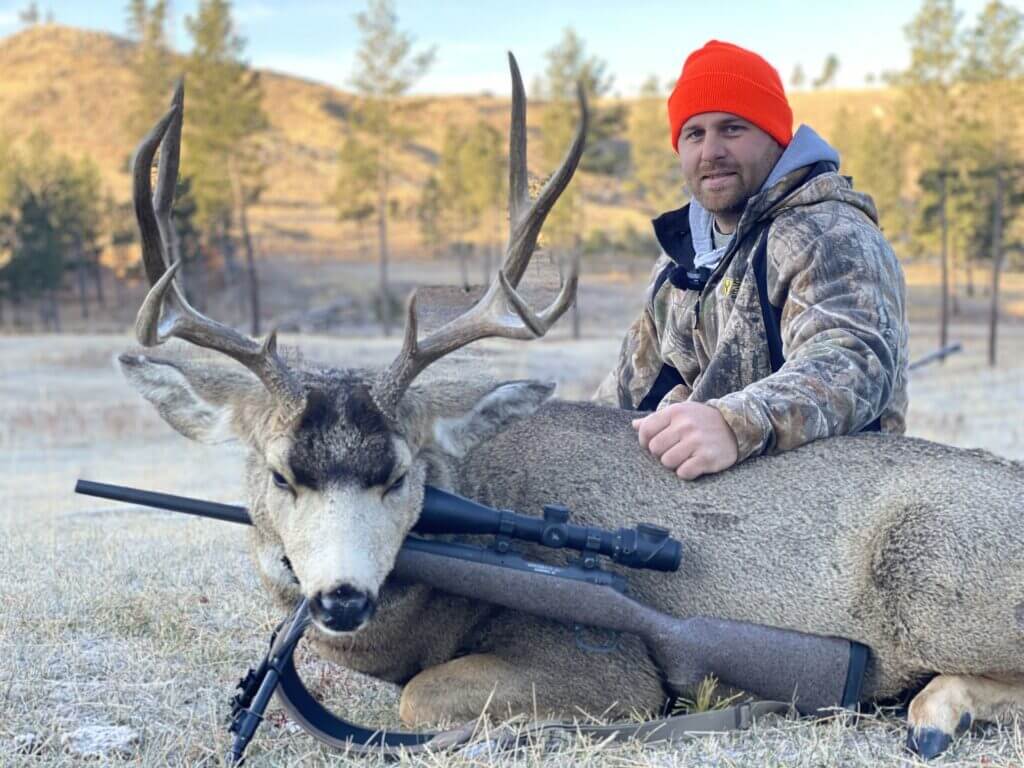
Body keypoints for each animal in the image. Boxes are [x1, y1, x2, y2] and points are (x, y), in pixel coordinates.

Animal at [118, 59, 1024, 760]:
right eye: (279, 474)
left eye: (400, 475)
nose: (339, 596)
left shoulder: (608, 661)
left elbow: (419, 698)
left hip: (935, 575)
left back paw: (935, 712)